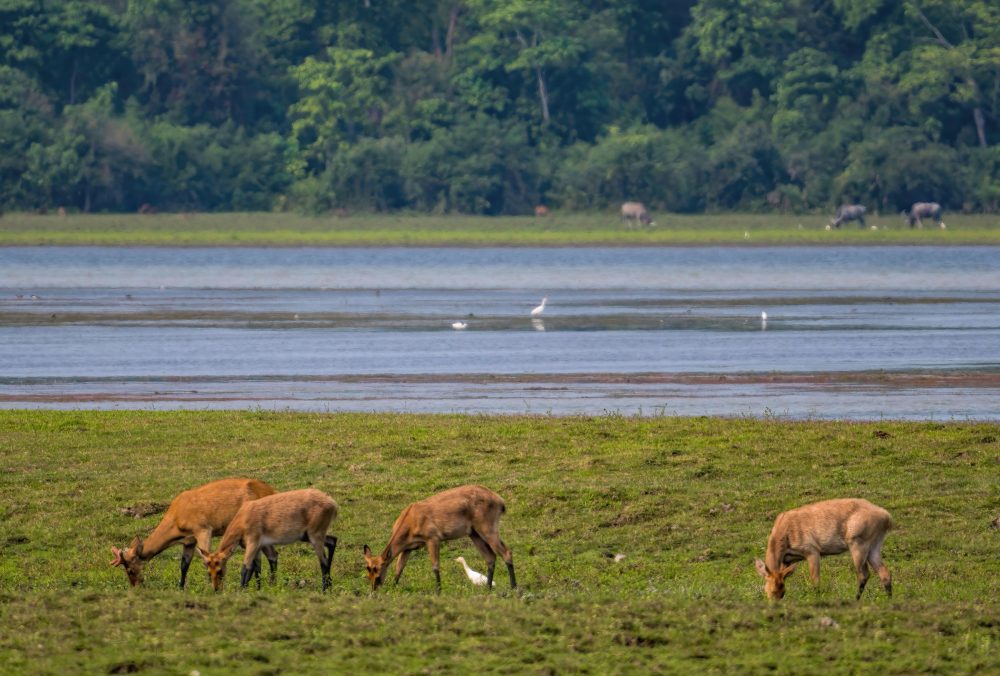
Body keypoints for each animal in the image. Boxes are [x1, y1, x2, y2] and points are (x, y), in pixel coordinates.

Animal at [110, 478, 280, 588]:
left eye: (130, 569)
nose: (135, 586)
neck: (177, 519)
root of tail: (271, 490)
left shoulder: (203, 529)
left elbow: (206, 558)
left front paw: (209, 586)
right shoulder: (189, 541)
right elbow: (184, 565)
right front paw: (180, 587)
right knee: (271, 554)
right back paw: (268, 585)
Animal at [197, 486, 338, 592]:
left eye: (220, 571)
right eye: (209, 572)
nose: (216, 589)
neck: (243, 517)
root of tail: (332, 503)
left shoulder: (253, 544)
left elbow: (246, 568)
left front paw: (241, 591)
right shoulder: (258, 547)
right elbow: (257, 569)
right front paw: (257, 590)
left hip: (315, 537)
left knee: (323, 562)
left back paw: (324, 590)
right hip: (308, 536)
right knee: (332, 541)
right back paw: (330, 586)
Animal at [364, 484, 516, 596]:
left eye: (377, 570)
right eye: (368, 568)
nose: (373, 590)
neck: (410, 520)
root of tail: (500, 501)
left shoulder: (433, 539)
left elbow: (435, 566)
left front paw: (438, 592)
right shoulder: (408, 548)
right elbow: (399, 568)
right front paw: (393, 588)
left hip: (488, 530)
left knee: (506, 552)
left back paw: (514, 588)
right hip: (475, 534)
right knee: (490, 557)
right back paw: (487, 589)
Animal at [752, 496, 896, 604]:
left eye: (781, 592)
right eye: (771, 591)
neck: (784, 531)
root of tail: (886, 516)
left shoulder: (812, 552)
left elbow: (815, 581)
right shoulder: (787, 560)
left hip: (858, 544)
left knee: (864, 574)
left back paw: (855, 599)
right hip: (874, 546)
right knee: (884, 572)